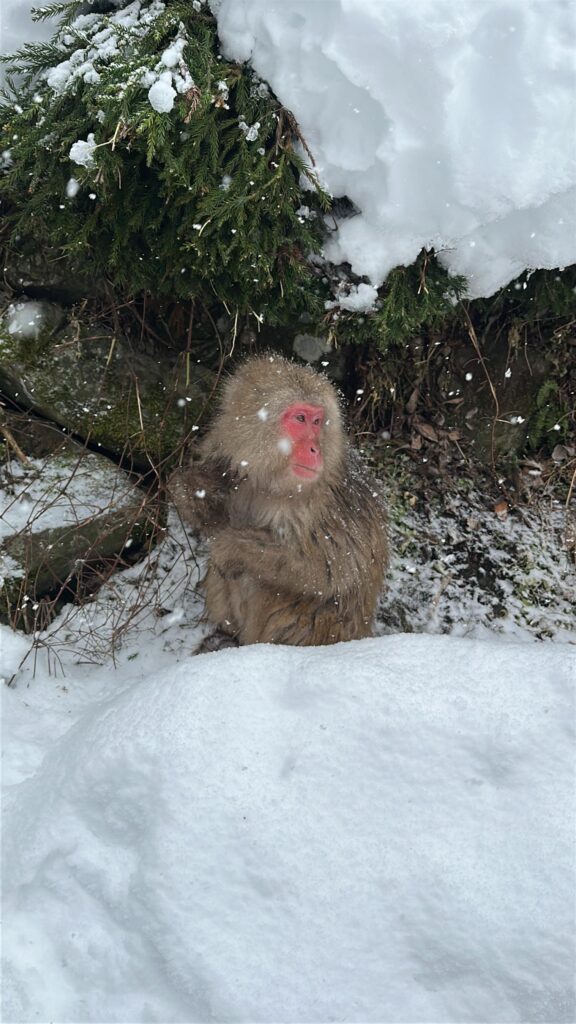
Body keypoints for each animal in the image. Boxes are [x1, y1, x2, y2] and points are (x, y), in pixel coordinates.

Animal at [168, 354, 389, 648]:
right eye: (300, 418)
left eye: (317, 421)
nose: (315, 450)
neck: (271, 481)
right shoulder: (224, 453)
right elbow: (197, 491)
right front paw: (195, 492)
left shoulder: (328, 503)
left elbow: (329, 570)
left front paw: (230, 547)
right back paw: (225, 637)